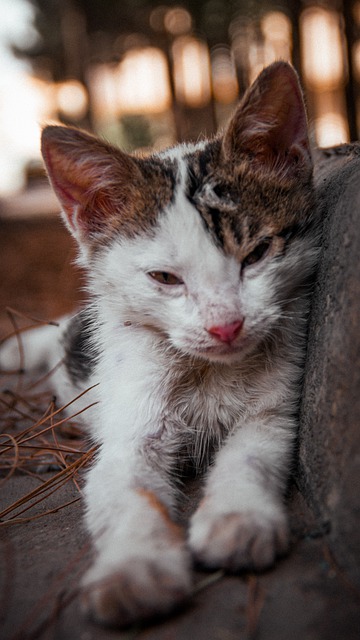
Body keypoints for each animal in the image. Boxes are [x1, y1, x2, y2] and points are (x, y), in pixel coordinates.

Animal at [2, 61, 318, 624]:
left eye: (257, 253)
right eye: (165, 278)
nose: (225, 326)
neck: (208, 369)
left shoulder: (277, 407)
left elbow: (254, 452)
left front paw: (238, 518)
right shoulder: (128, 428)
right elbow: (125, 491)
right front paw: (136, 568)